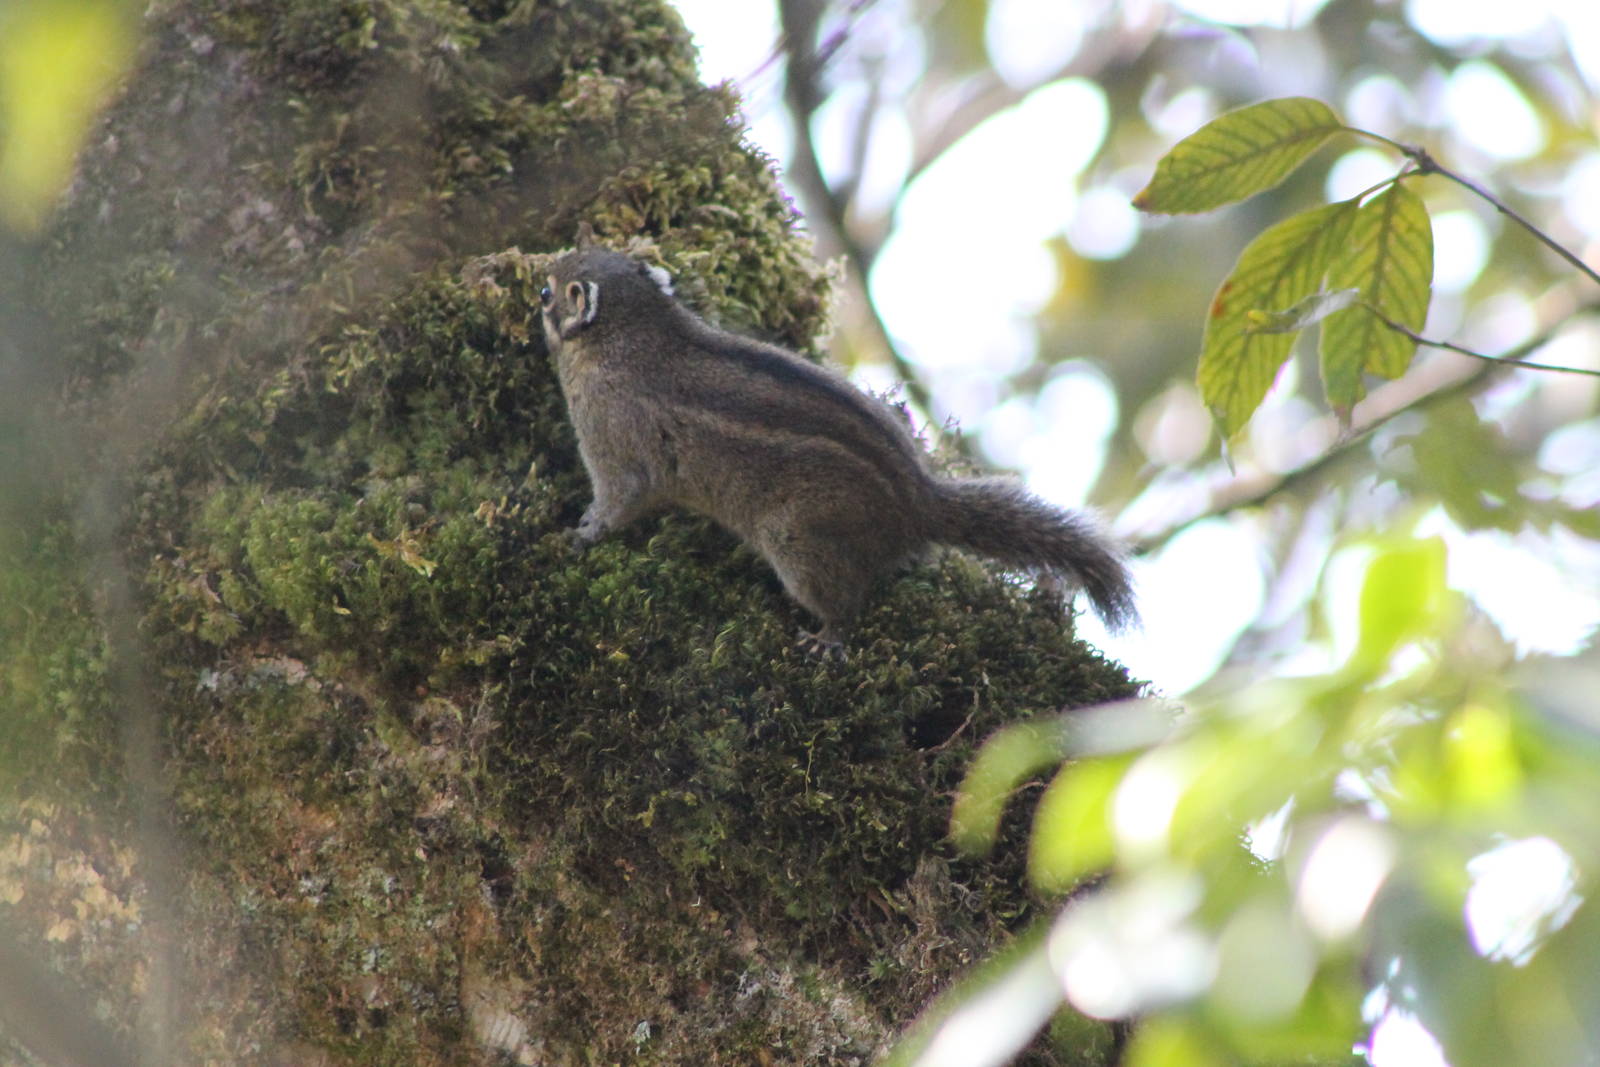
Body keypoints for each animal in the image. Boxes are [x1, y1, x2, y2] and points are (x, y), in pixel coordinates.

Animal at [538, 239, 1137, 656]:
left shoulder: (612, 440)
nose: (535, 279)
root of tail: (920, 503)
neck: (635, 332)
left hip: (799, 540)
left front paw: (578, 534)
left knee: (846, 598)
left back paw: (828, 637)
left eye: (546, 292)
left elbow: (620, 501)